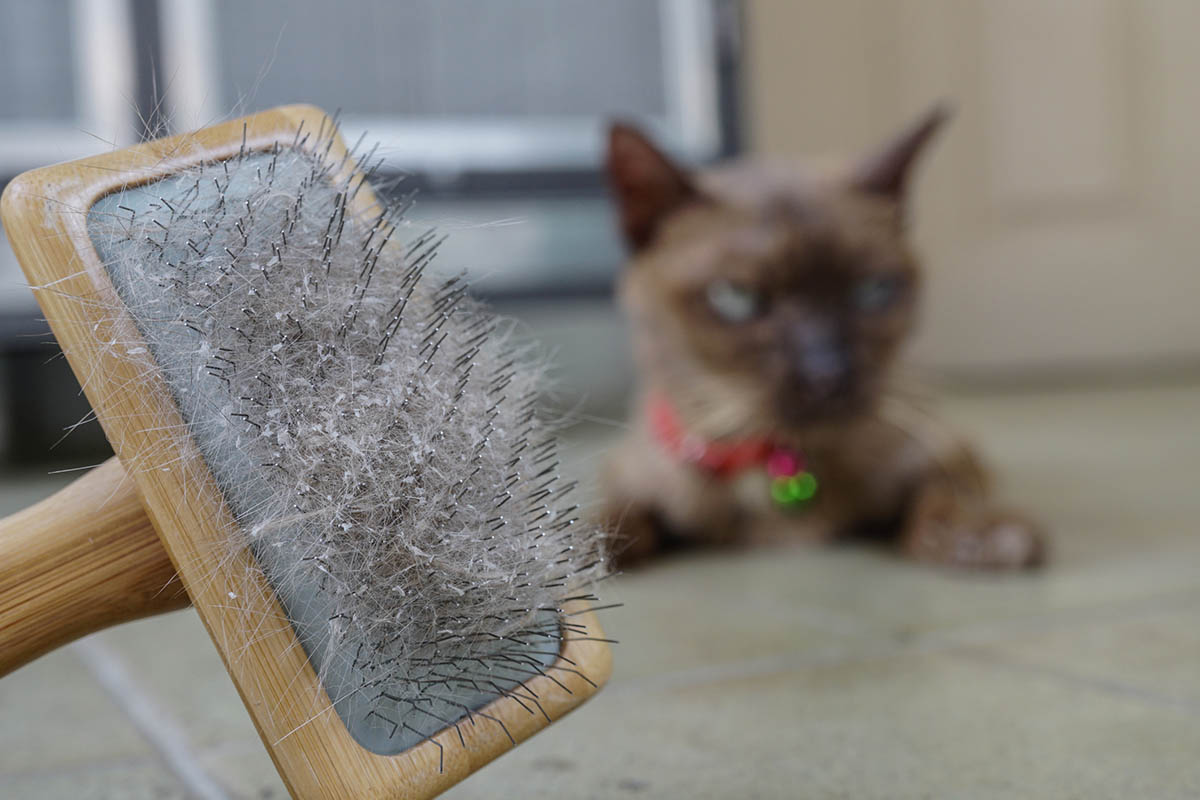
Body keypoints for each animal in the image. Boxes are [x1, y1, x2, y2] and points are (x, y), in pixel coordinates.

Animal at [604, 106, 1046, 568]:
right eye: (737, 298)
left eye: (872, 291)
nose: (828, 372)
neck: (781, 466)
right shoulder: (627, 475)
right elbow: (612, 520)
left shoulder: (939, 457)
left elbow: (941, 500)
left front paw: (983, 537)